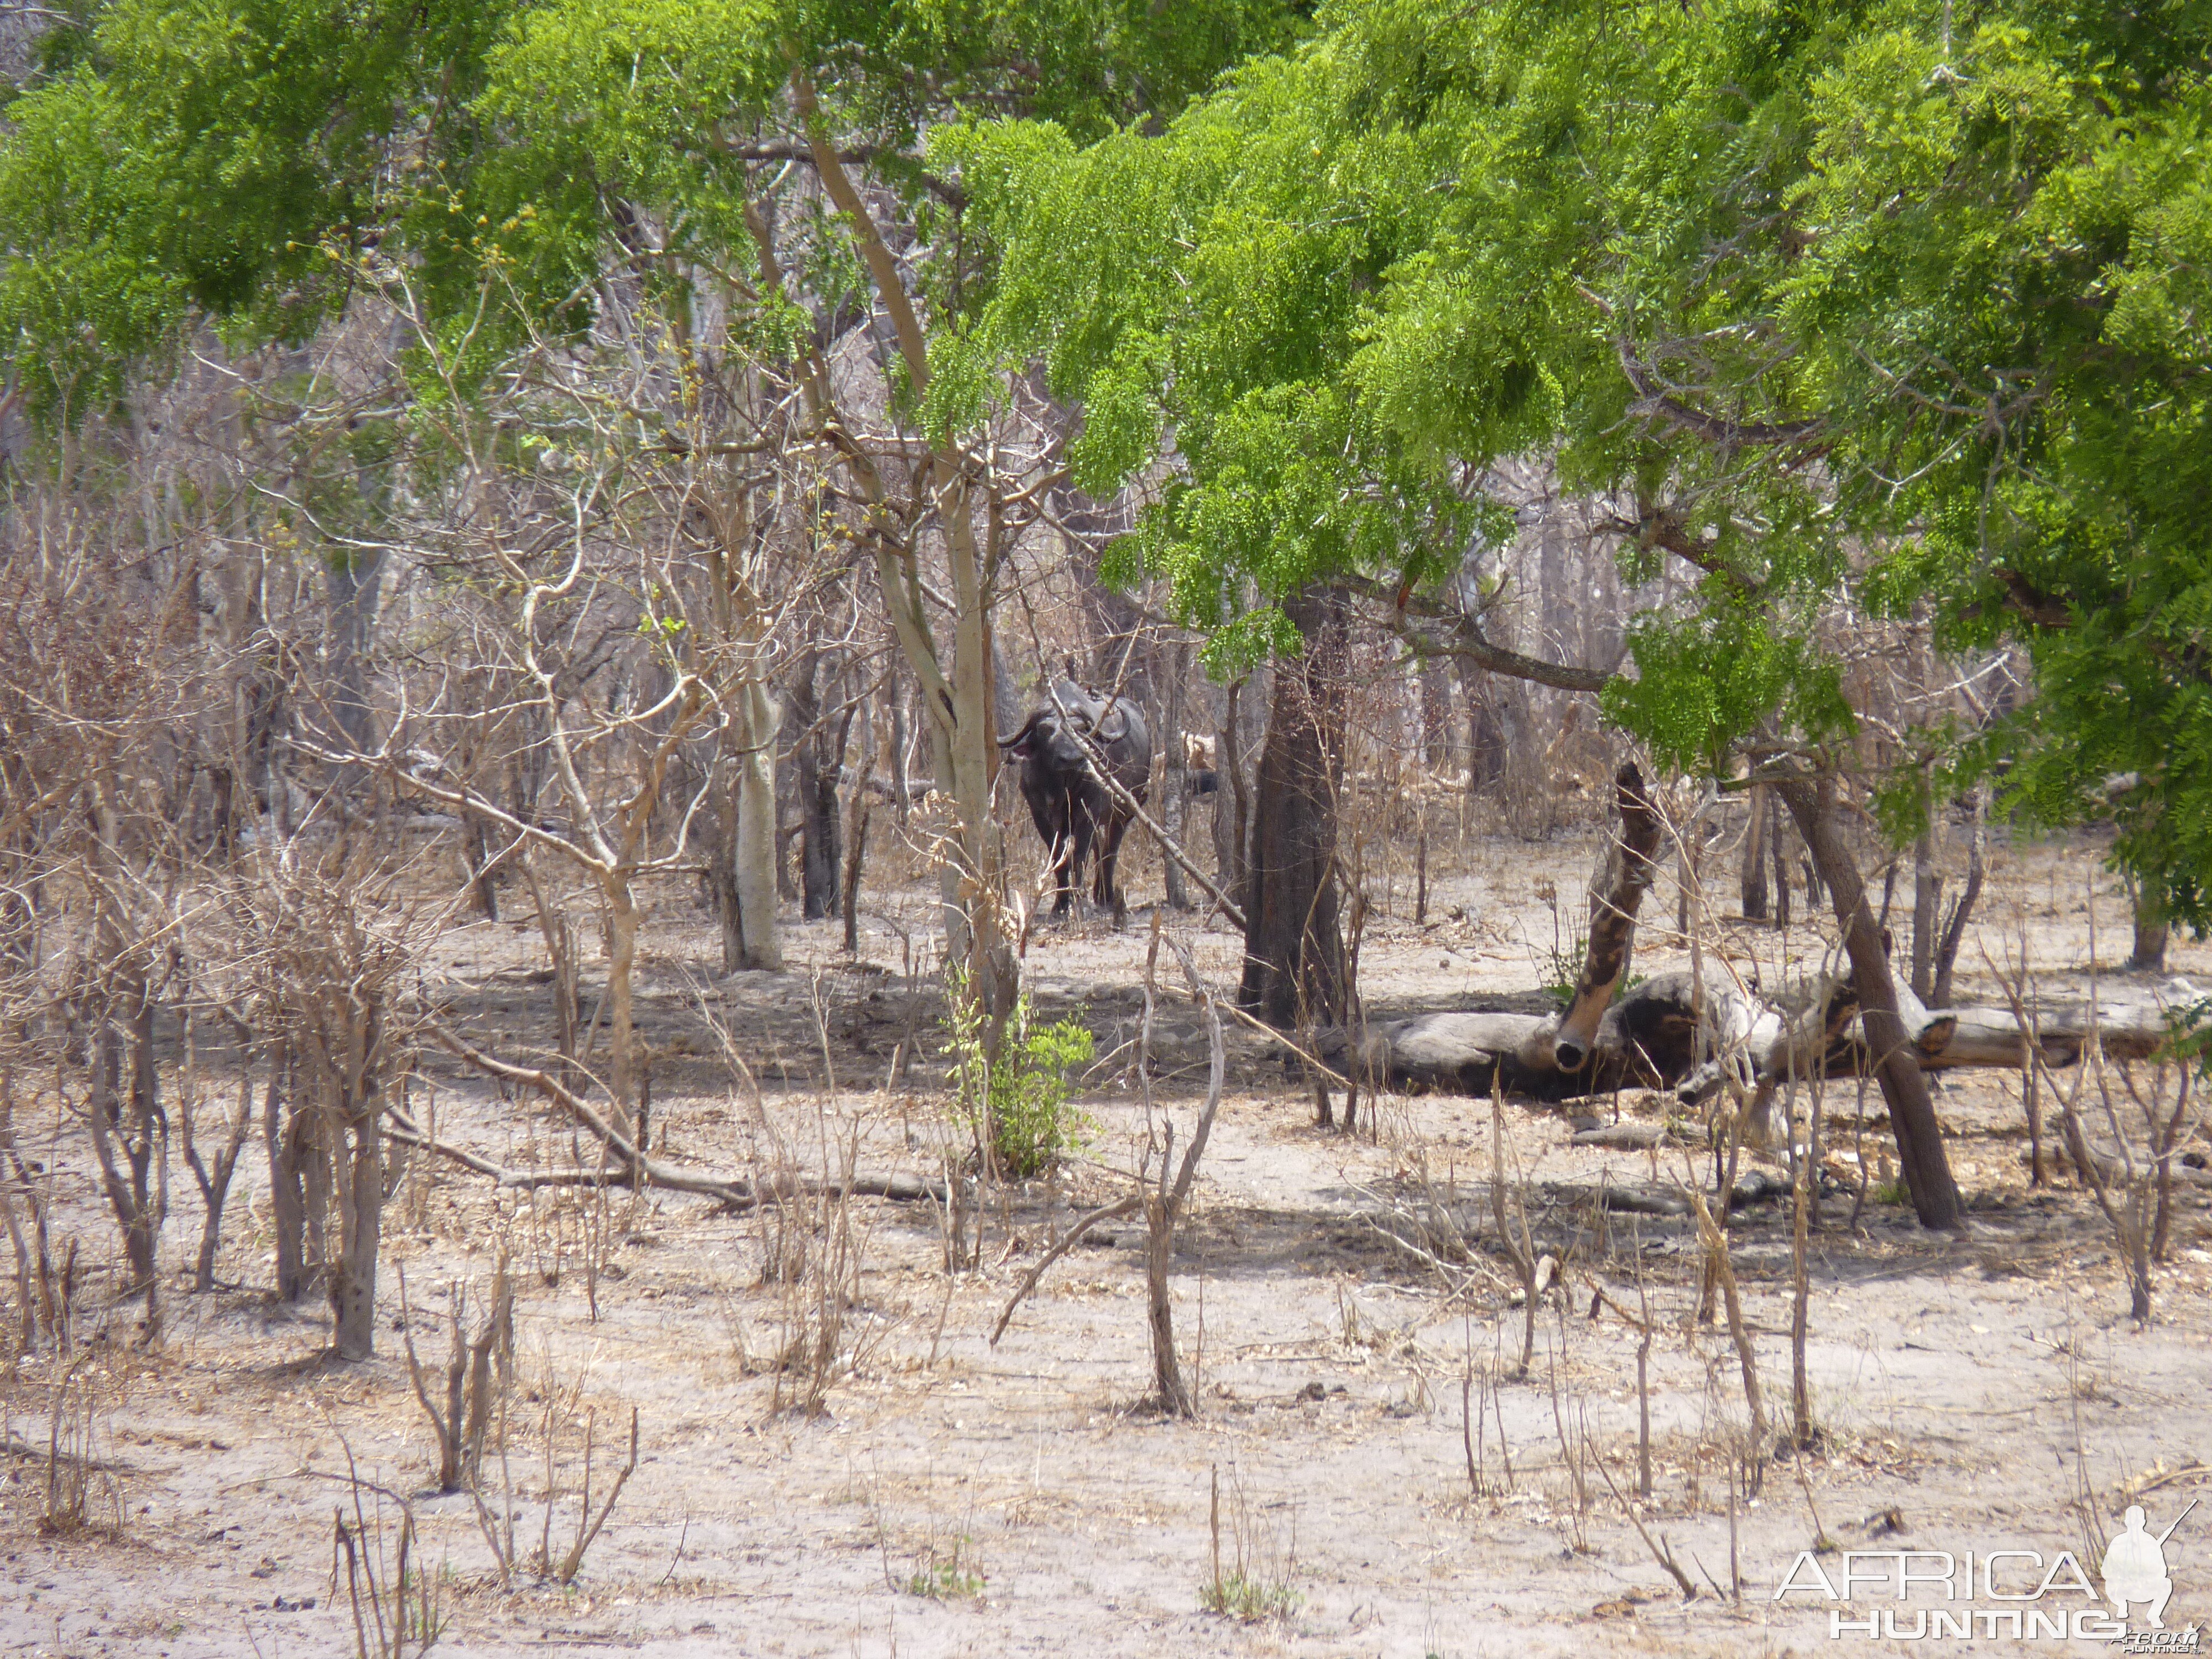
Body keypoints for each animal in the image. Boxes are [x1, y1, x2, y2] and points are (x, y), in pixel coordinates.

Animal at [995, 686, 1150, 929]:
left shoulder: (1087, 814)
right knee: (1100, 847)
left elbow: (1079, 857)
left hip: (1123, 812)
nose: (1072, 759)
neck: (1062, 787)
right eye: (1045, 730)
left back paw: (1105, 897)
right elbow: (1058, 856)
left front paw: (1079, 903)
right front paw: (1060, 905)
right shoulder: (1040, 815)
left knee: (1111, 850)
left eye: (1080, 730)